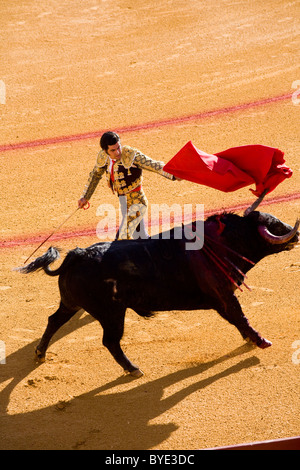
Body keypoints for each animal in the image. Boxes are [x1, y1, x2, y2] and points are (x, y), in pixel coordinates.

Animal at [17, 212, 298, 378]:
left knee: (54, 320)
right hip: (112, 313)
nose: (295, 234)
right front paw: (261, 341)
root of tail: (77, 254)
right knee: (110, 341)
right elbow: (241, 318)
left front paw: (250, 339)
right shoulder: (224, 297)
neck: (224, 242)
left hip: (72, 304)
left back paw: (40, 353)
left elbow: (238, 321)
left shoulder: (223, 299)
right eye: (274, 225)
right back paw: (133, 369)